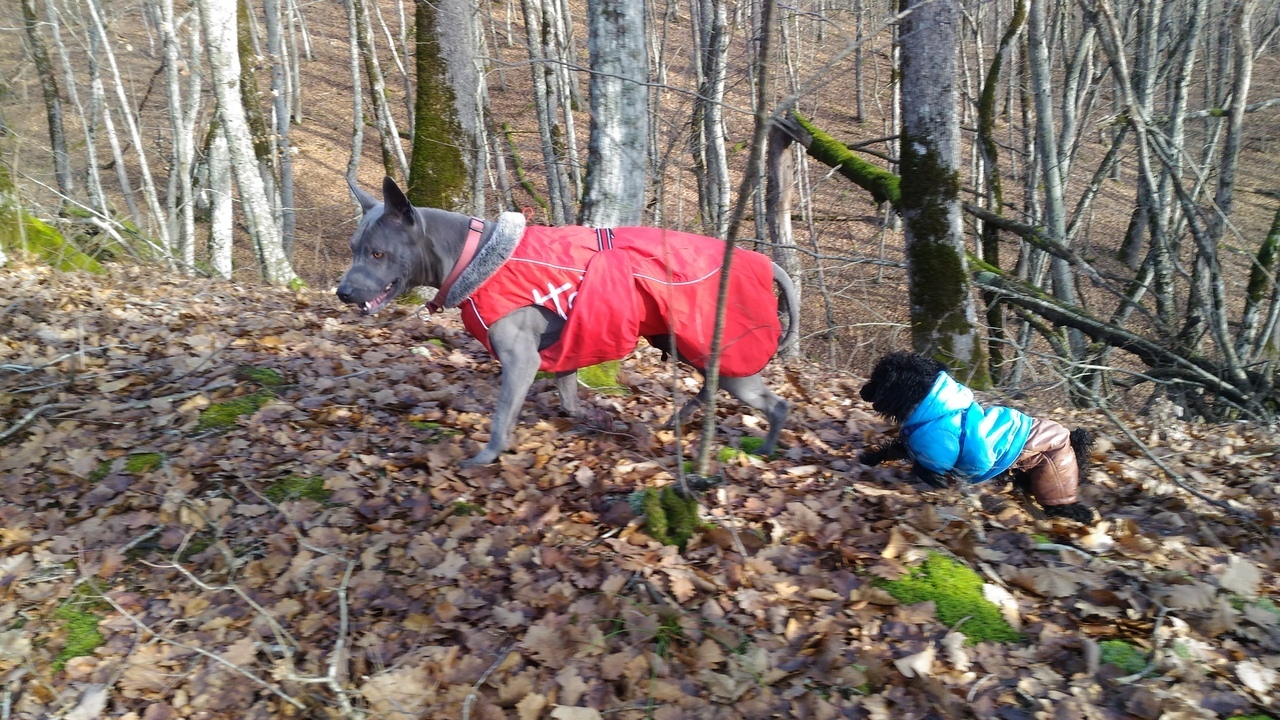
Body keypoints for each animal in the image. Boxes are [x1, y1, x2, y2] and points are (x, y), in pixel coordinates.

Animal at [340, 176, 798, 461]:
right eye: (353, 248)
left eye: (378, 253)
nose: (343, 292)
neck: (475, 256)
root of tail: (766, 263)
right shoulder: (568, 346)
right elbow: (569, 397)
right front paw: (593, 417)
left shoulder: (522, 360)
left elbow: (501, 417)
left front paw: (486, 457)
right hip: (689, 346)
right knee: (711, 387)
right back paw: (679, 418)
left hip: (723, 352)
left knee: (776, 405)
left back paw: (765, 449)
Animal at [860, 351, 1090, 517]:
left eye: (878, 379)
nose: (862, 391)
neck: (933, 406)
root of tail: (1070, 437)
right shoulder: (917, 444)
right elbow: (891, 449)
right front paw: (868, 458)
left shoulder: (940, 451)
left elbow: (922, 468)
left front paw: (940, 483)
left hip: (1053, 475)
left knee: (1063, 505)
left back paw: (1083, 516)